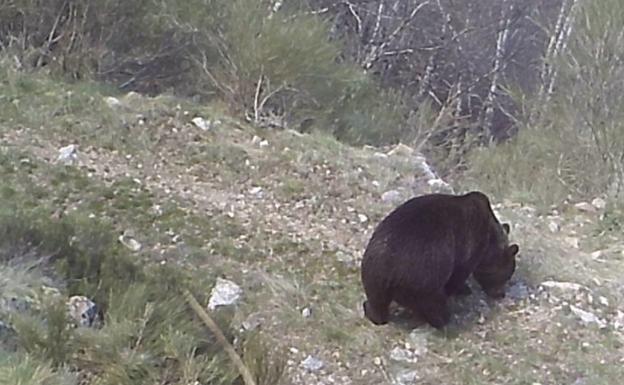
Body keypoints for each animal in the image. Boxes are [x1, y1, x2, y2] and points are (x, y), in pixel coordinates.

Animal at [358, 190, 520, 328]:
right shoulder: (469, 245)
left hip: (372, 273)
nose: (500, 294)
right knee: (432, 303)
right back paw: (442, 319)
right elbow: (458, 274)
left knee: (377, 301)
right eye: (507, 275)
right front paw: (463, 289)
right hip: (421, 279)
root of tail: (387, 268)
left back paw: (372, 312)